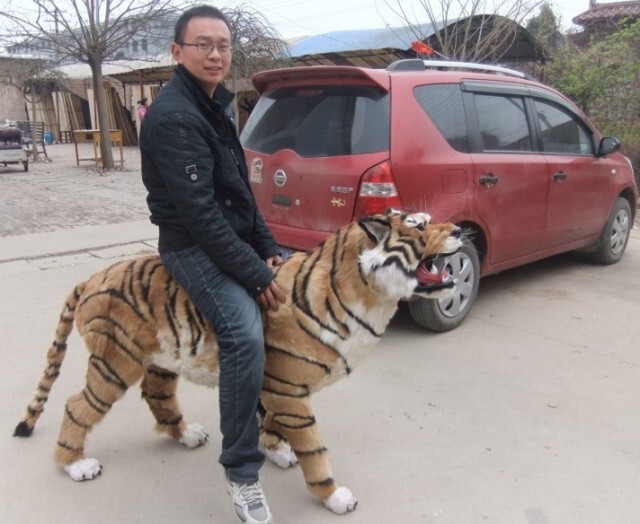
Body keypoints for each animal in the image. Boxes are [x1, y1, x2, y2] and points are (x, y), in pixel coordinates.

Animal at [13, 209, 462, 515]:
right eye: (419, 227)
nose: (460, 230)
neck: (369, 297)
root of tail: (90, 278)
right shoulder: (288, 390)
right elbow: (314, 448)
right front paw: (334, 496)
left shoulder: (280, 388)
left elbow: (274, 424)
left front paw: (277, 451)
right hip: (115, 361)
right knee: (77, 405)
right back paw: (76, 465)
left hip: (159, 359)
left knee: (156, 395)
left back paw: (186, 434)